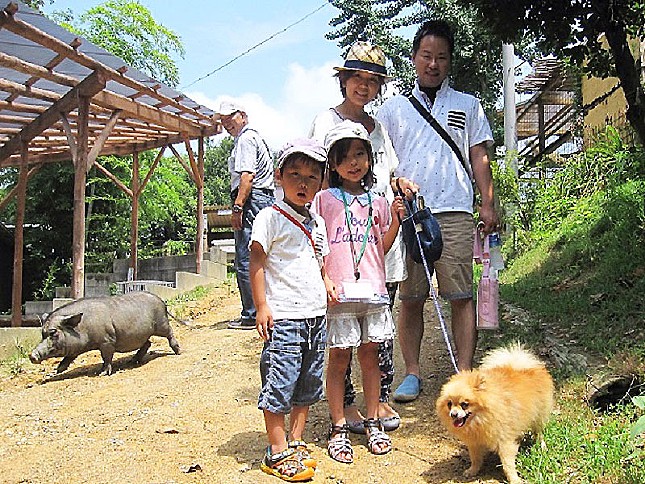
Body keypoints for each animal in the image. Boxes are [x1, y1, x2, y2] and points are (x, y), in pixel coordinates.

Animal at [29, 292, 180, 374]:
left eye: (53, 333)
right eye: (42, 334)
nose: (32, 355)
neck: (83, 327)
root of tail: (162, 301)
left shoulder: (107, 341)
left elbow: (106, 357)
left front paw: (102, 373)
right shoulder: (75, 349)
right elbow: (68, 358)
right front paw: (57, 371)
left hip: (161, 324)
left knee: (169, 333)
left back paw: (178, 351)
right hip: (143, 334)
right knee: (147, 343)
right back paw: (132, 361)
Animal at [436, 344, 552, 484]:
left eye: (464, 404)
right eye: (449, 404)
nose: (453, 414)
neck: (479, 420)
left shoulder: (505, 441)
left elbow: (508, 464)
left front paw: (514, 479)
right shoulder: (474, 443)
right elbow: (475, 458)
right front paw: (472, 471)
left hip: (538, 415)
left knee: (539, 432)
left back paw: (542, 446)